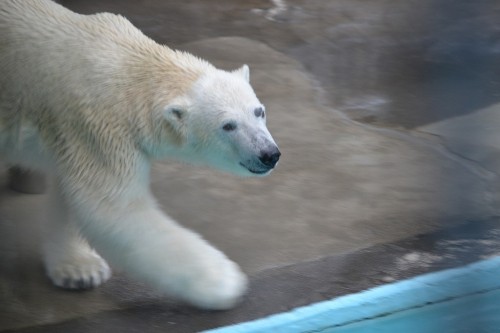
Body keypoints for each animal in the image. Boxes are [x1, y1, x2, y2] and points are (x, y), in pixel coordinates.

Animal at [0, 0, 278, 308]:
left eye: (259, 111)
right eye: (228, 125)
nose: (269, 154)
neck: (130, 71)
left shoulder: (72, 136)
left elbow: (71, 194)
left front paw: (80, 269)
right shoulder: (100, 128)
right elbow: (114, 211)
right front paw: (223, 280)